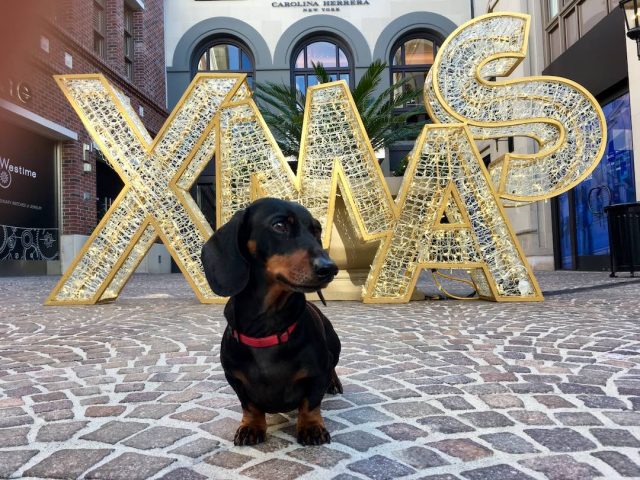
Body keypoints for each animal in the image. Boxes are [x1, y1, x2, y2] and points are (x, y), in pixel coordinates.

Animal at [201, 197, 342, 444]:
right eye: (280, 225)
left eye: (317, 230)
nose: (330, 268)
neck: (266, 329)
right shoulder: (234, 379)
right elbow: (249, 406)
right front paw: (251, 427)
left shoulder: (317, 374)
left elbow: (311, 403)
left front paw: (312, 427)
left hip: (335, 345)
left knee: (333, 365)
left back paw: (334, 383)